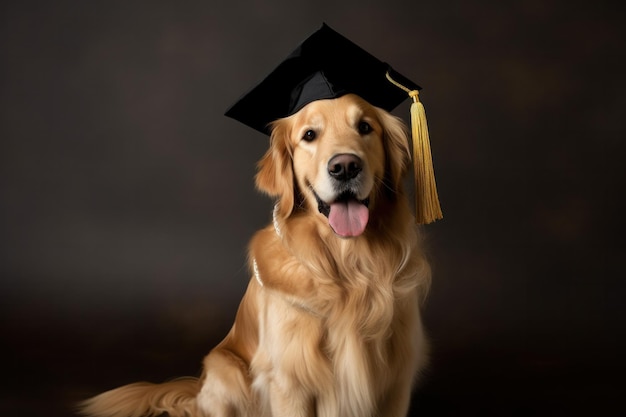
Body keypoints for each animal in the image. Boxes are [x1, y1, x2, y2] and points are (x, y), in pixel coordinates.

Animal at [80, 94, 432, 416]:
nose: (345, 166)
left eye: (365, 127)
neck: (348, 267)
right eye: (309, 135)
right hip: (226, 371)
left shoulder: (395, 383)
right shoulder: (290, 382)